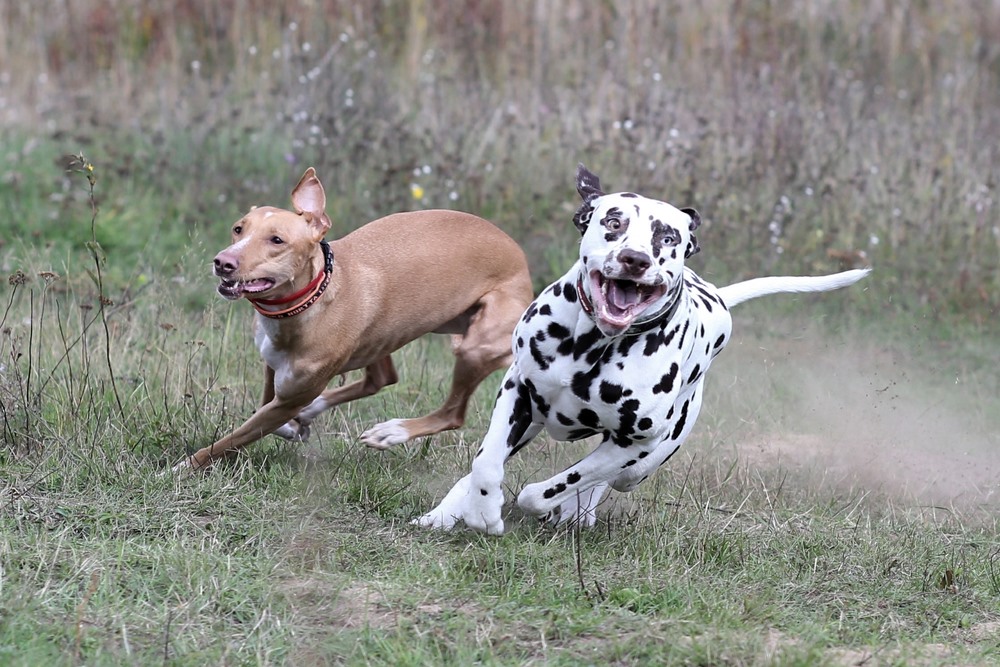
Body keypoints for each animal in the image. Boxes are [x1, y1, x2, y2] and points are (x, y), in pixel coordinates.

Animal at [174, 167, 532, 472]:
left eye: (277, 240)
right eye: (239, 229)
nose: (223, 262)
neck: (307, 304)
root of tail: (522, 261)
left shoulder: (288, 398)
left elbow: (231, 438)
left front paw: (183, 469)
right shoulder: (274, 369)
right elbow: (265, 407)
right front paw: (293, 428)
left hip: (474, 348)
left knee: (452, 413)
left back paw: (392, 432)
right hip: (387, 337)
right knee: (382, 378)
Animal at [414, 167, 868, 536]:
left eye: (667, 238)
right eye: (613, 222)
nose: (635, 259)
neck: (590, 347)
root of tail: (718, 297)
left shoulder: (636, 444)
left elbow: (545, 491)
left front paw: (557, 505)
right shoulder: (517, 394)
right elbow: (486, 462)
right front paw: (481, 511)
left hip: (644, 462)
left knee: (606, 480)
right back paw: (445, 513)